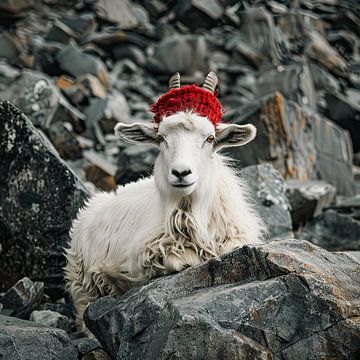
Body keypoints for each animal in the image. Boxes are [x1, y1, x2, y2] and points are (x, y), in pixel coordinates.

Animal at [64, 71, 266, 328]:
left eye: (210, 138)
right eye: (161, 138)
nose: (181, 172)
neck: (189, 213)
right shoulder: (142, 255)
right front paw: (187, 259)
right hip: (84, 286)